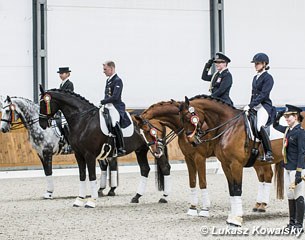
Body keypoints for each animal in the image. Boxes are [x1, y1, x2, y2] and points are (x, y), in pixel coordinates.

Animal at [134, 99, 280, 218]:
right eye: (141, 133)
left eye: (147, 130)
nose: (156, 152)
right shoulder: (188, 158)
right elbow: (192, 182)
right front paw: (192, 208)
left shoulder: (199, 157)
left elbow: (202, 182)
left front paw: (204, 209)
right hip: (256, 161)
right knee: (263, 176)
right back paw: (259, 205)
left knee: (267, 175)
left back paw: (262, 205)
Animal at [179, 94, 284, 226]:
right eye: (181, 119)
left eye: (189, 118)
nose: (192, 141)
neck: (229, 126)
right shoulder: (226, 165)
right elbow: (232, 190)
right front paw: (232, 217)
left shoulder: (236, 164)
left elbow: (237, 189)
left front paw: (237, 219)